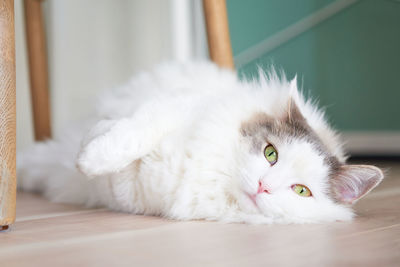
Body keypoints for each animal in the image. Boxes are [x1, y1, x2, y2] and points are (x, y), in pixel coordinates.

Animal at [18, 61, 384, 224]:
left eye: (301, 191)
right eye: (271, 153)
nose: (263, 186)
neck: (215, 176)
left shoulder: (130, 196)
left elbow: (122, 163)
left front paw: (91, 154)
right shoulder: (170, 107)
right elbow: (130, 130)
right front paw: (93, 152)